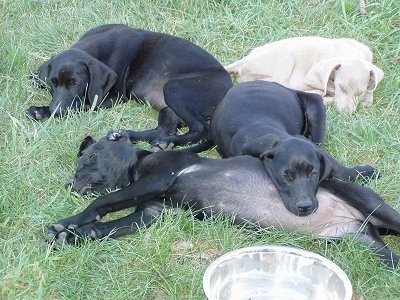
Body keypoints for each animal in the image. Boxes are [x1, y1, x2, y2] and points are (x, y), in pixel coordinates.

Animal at [27, 24, 231, 148]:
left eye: (75, 83)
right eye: (53, 82)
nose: (56, 110)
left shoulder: (113, 97)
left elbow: (82, 105)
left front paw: (43, 110)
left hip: (174, 88)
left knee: (200, 129)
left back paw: (166, 141)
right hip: (168, 108)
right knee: (162, 129)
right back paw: (137, 137)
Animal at [44, 136, 400, 268]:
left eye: (90, 157)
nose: (70, 184)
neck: (137, 165)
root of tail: (360, 224)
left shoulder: (157, 179)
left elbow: (103, 202)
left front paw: (68, 222)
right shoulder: (150, 212)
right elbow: (104, 228)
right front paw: (72, 236)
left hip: (374, 206)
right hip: (368, 247)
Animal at [211, 79, 376, 216]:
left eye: (313, 173)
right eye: (286, 175)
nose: (305, 207)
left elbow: (337, 167)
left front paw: (363, 173)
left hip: (316, 109)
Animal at [225, 36, 384, 113]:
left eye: (360, 93)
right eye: (341, 87)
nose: (348, 114)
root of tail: (243, 61)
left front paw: (367, 98)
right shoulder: (314, 75)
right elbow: (329, 86)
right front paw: (327, 95)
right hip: (284, 55)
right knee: (283, 86)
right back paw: (318, 94)